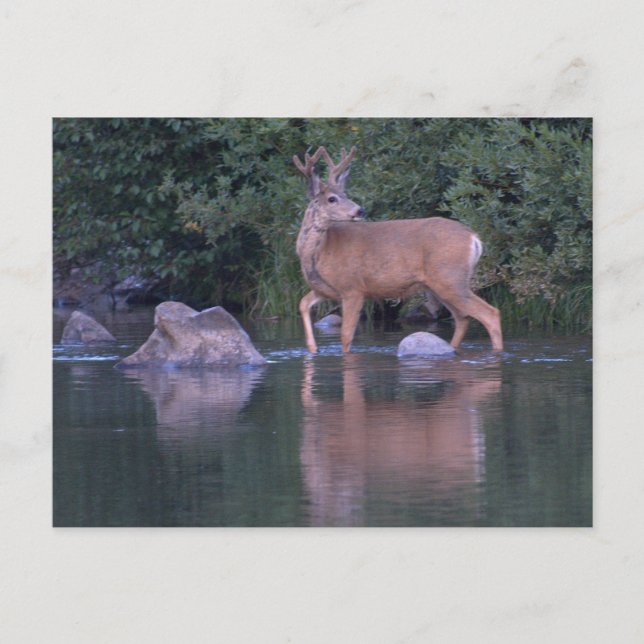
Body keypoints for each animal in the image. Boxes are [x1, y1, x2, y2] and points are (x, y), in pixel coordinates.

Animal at [293, 146, 503, 353]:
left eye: (345, 195)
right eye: (332, 199)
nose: (360, 210)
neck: (321, 252)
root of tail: (474, 238)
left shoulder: (352, 287)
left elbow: (346, 336)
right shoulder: (323, 290)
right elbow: (302, 304)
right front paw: (312, 348)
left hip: (450, 278)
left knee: (490, 313)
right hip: (440, 285)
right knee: (462, 318)